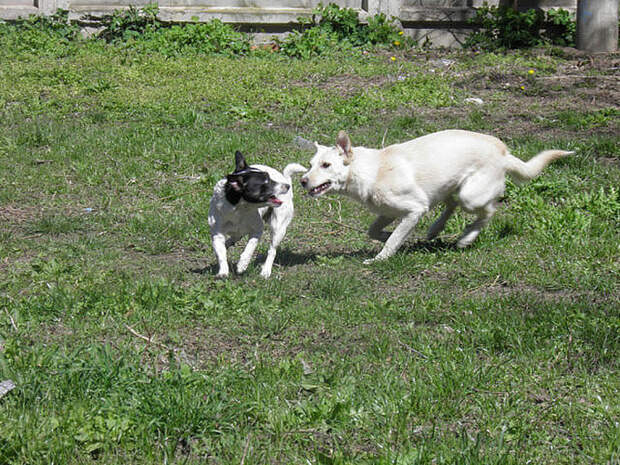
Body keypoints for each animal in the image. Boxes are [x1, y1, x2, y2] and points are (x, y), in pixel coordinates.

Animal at [208, 150, 306, 278]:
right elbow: (221, 254)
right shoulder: (217, 234)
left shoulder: (257, 230)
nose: (287, 186)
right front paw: (223, 271)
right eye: (266, 182)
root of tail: (284, 178)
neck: (239, 209)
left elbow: (250, 247)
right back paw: (228, 243)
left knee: (272, 250)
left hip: (278, 227)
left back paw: (266, 270)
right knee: (236, 236)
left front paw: (242, 264)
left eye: (270, 178)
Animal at [300, 129, 572, 262]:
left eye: (325, 165)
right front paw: (400, 239)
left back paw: (466, 238)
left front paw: (381, 258)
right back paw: (435, 230)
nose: (302, 181)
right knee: (451, 205)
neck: (372, 170)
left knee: (489, 211)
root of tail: (504, 152)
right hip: (451, 188)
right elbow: (375, 232)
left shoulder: (414, 209)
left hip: (471, 195)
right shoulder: (389, 212)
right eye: (310, 165)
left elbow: (392, 240)